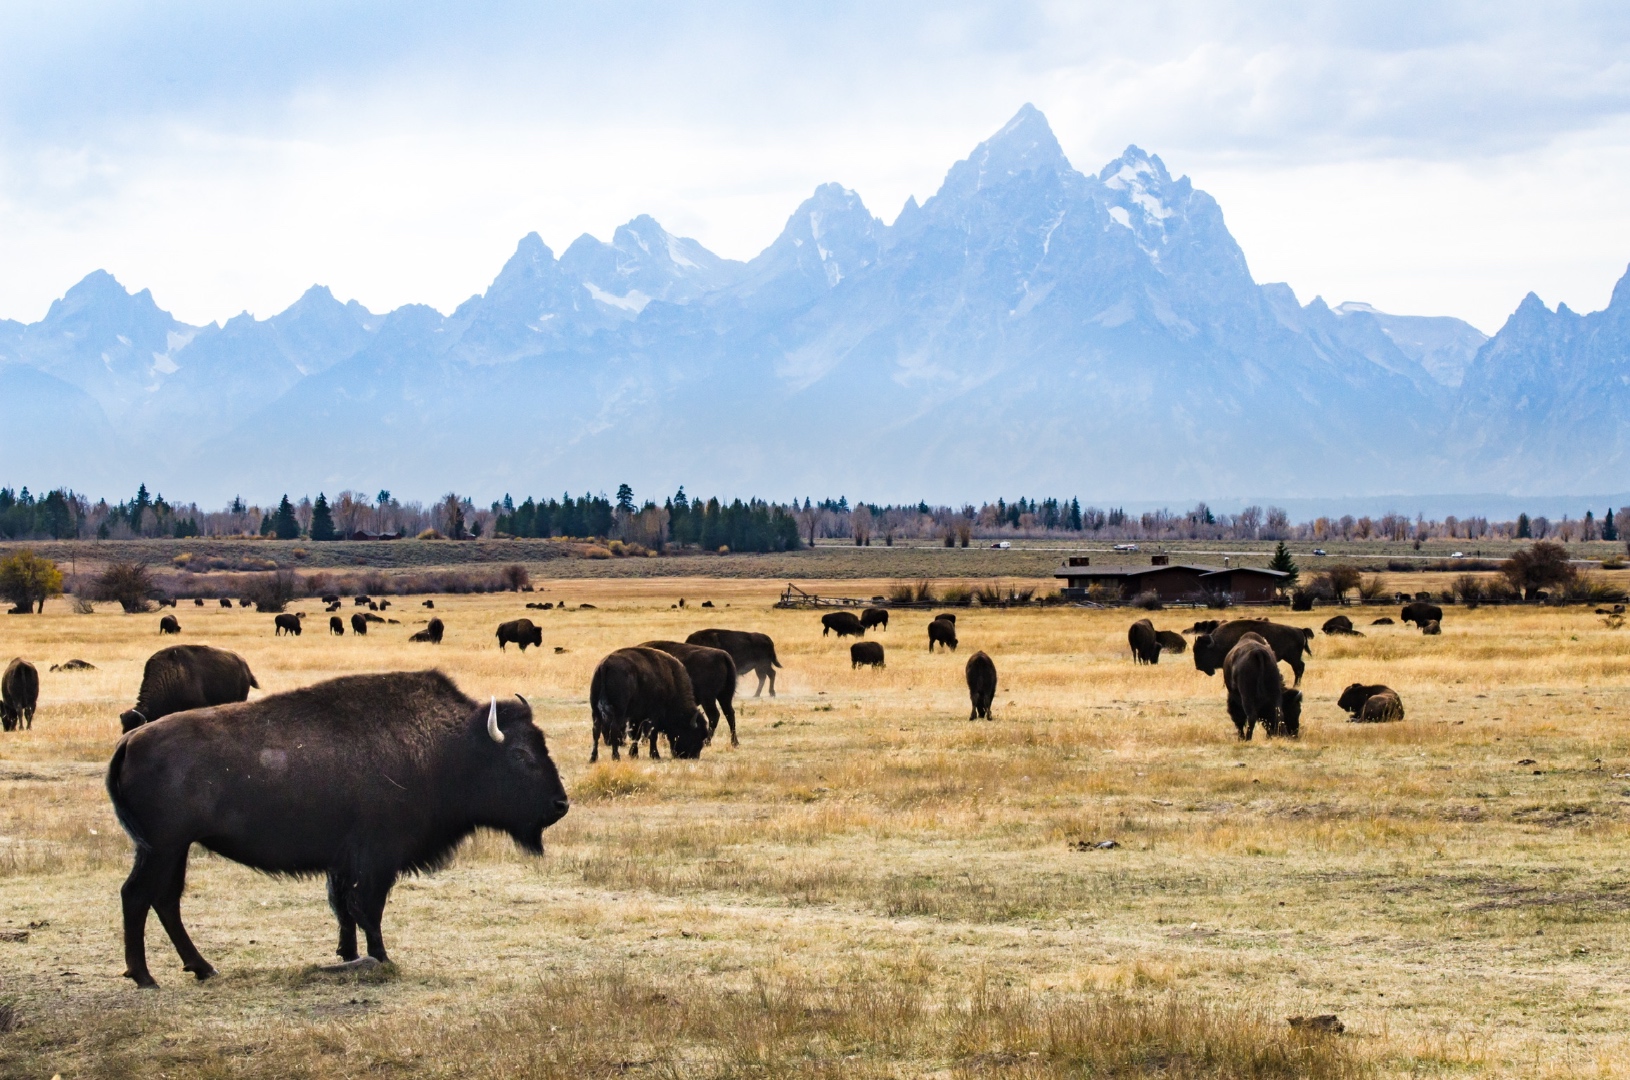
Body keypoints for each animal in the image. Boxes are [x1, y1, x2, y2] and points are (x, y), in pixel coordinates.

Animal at [107, 671, 568, 987]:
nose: (560, 805)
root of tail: (130, 741)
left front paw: (347, 955)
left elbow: (344, 910)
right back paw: (146, 976)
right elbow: (368, 909)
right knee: (138, 896)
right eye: (521, 755)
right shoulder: (377, 860)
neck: (447, 747)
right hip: (164, 847)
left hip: (170, 849)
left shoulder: (343, 861)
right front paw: (381, 958)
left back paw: (202, 968)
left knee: (163, 900)